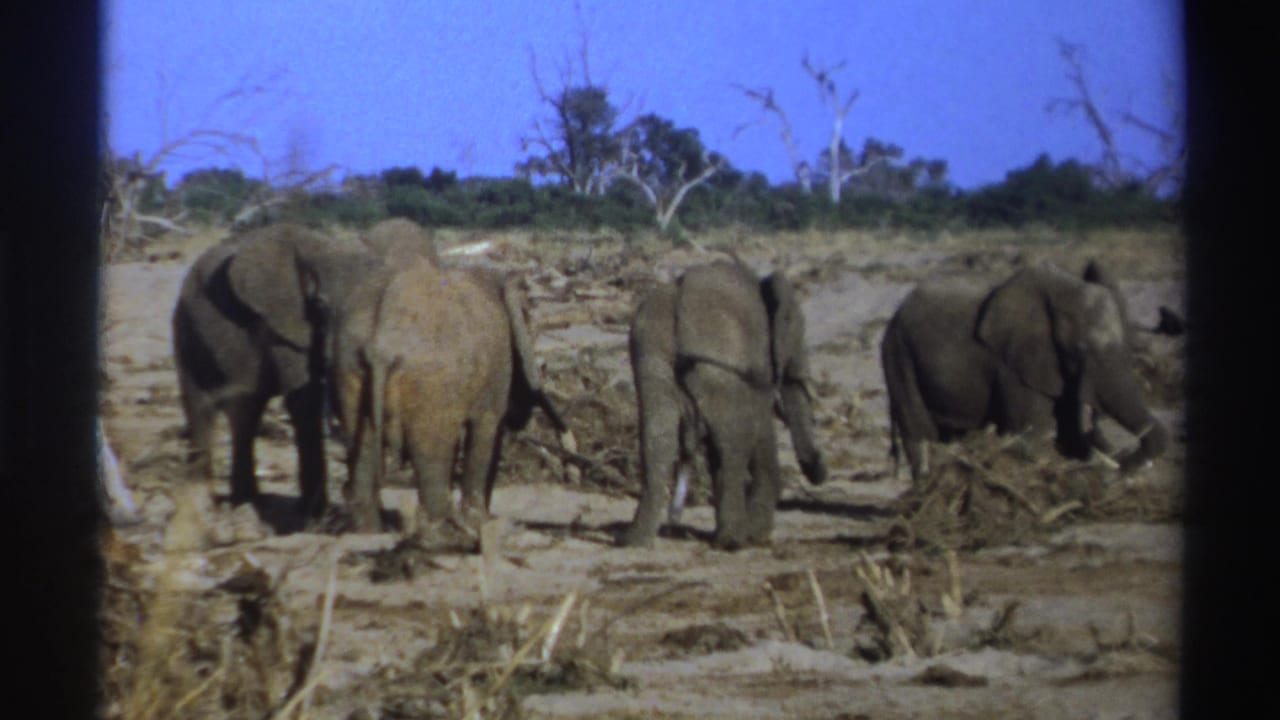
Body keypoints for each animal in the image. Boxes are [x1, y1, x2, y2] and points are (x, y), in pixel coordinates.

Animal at [172, 223, 388, 520]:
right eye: (321, 306)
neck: (325, 248)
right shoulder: (282, 323)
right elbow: (304, 402)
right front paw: (314, 518)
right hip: (187, 330)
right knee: (201, 409)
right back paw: (206, 505)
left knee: (245, 414)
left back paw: (245, 501)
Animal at [330, 252, 572, 535]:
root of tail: (382, 344)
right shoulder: (496, 368)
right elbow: (486, 430)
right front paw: (478, 522)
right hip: (430, 381)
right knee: (431, 455)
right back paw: (442, 530)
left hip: (349, 365)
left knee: (362, 446)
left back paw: (370, 532)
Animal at [622, 259, 828, 550]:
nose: (819, 469)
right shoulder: (755, 366)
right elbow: (759, 425)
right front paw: (757, 536)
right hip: (718, 360)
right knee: (733, 442)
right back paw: (733, 541)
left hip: (651, 354)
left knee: (657, 438)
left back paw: (635, 542)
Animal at [880, 259, 1169, 482]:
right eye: (1080, 349)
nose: (1122, 472)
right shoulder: (1014, 363)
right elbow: (1032, 432)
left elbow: (1069, 435)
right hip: (898, 353)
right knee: (919, 434)